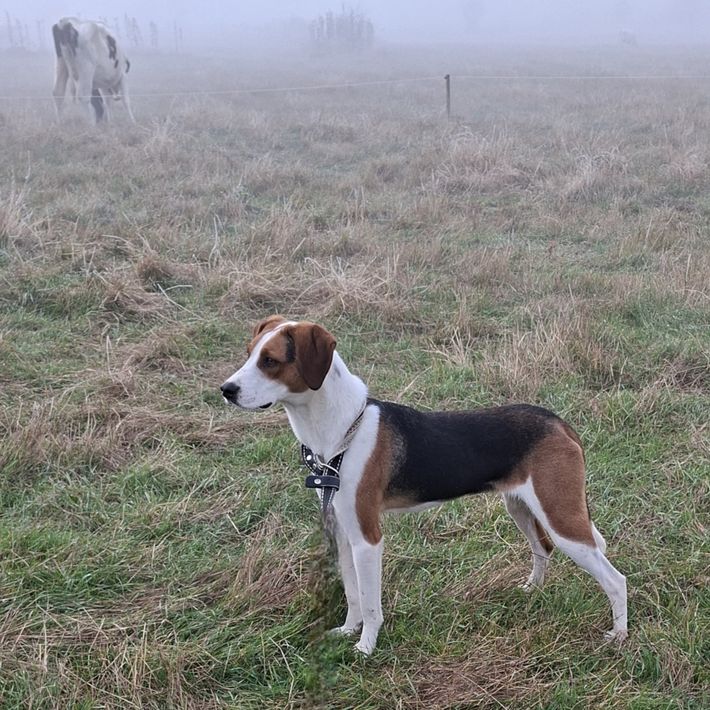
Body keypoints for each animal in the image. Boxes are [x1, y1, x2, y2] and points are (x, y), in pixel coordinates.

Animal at [221, 315, 628, 655]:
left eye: (270, 361)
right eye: (248, 353)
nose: (226, 389)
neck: (342, 429)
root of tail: (559, 423)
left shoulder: (368, 539)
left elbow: (370, 602)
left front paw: (365, 648)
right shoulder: (342, 533)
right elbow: (353, 594)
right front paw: (348, 631)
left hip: (561, 518)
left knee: (615, 579)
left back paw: (618, 636)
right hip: (521, 507)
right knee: (542, 548)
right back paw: (532, 589)